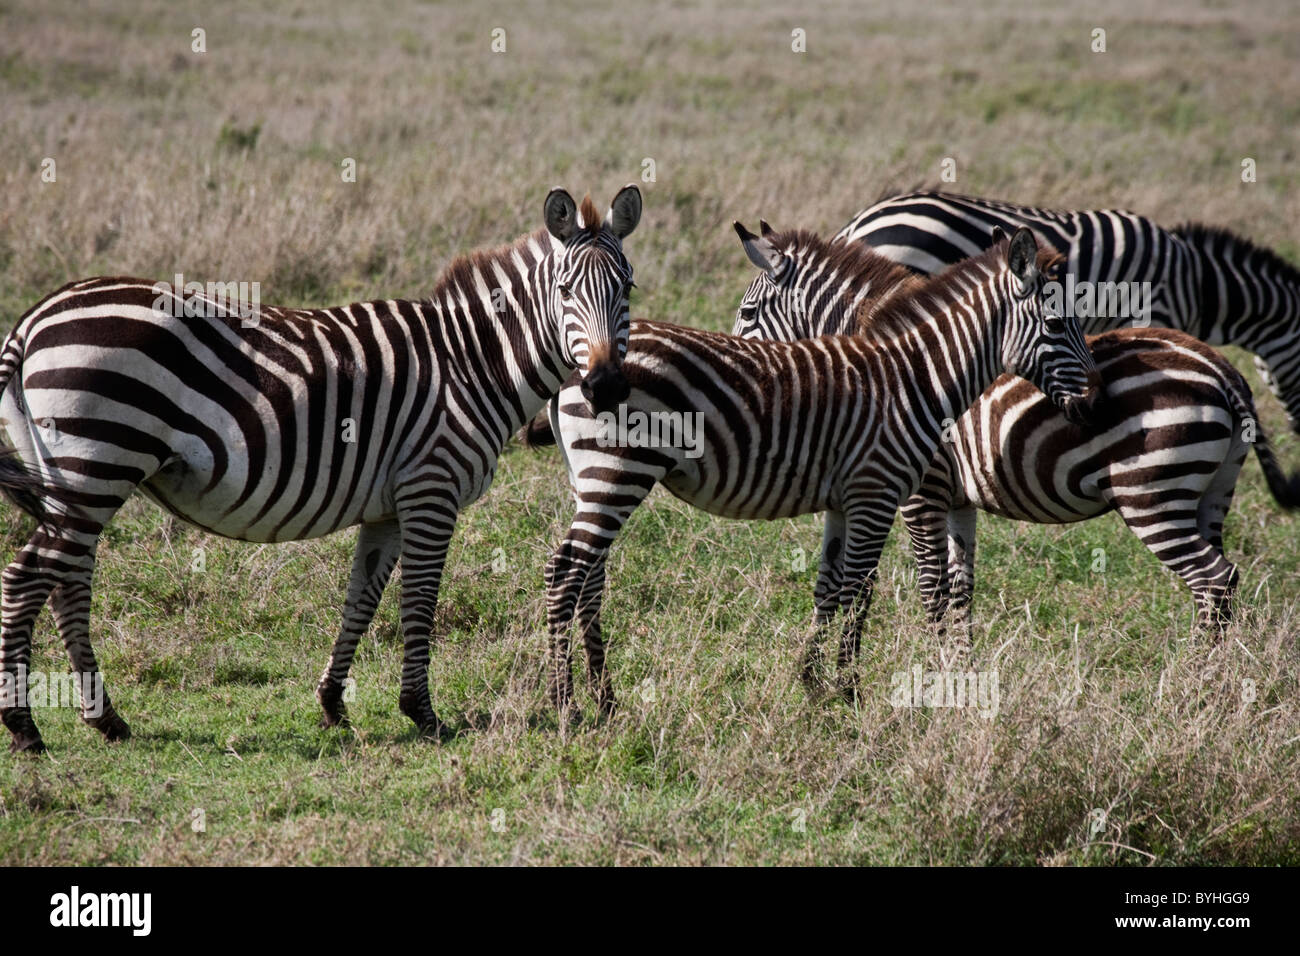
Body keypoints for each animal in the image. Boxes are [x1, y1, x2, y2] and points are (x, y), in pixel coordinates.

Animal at [0, 183, 642, 749]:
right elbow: (419, 601)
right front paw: (423, 713)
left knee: (67, 581)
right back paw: (25, 727)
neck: (471, 362)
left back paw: (105, 719)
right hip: (97, 463)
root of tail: (34, 317)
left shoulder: (387, 509)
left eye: (628, 287)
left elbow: (363, 598)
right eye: (565, 290)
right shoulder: (430, 490)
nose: (607, 387)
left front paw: (334, 704)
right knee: (27, 577)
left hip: (75, 475)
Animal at [535, 226, 1097, 717]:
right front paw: (849, 692)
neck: (915, 376)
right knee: (565, 571)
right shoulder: (882, 491)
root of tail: (580, 367)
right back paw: (566, 706)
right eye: (1055, 325)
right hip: (615, 475)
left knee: (588, 576)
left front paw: (815, 681)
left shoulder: (847, 500)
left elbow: (833, 585)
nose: (1094, 404)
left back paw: (606, 700)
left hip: (595, 481)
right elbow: (863, 589)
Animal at [733, 221, 1300, 632]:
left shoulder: (921, 492)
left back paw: (1193, 685)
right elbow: (959, 594)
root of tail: (1224, 371)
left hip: (1152, 496)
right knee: (1222, 580)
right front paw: (959, 676)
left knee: (1213, 579)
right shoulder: (956, 498)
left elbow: (929, 591)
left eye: (748, 311)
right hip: (1212, 492)